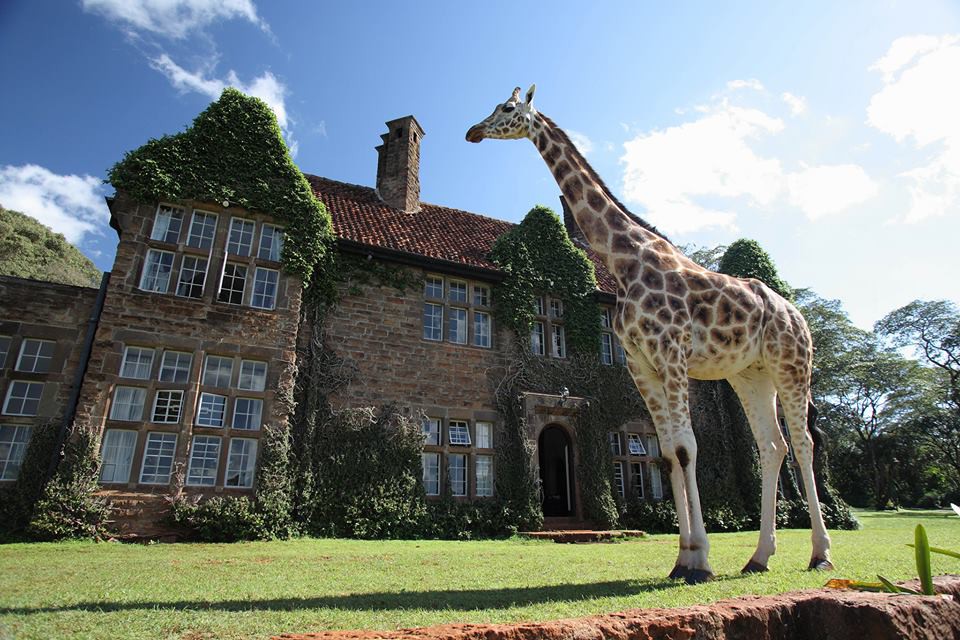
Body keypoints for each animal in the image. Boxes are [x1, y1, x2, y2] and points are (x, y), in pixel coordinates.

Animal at [466, 86, 833, 583]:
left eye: (506, 109)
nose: (472, 131)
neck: (623, 260)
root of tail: (800, 315)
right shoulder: (641, 365)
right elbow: (666, 453)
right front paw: (684, 557)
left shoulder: (672, 353)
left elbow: (685, 447)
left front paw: (700, 561)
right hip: (749, 375)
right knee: (772, 446)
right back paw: (759, 557)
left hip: (793, 366)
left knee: (804, 443)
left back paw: (820, 553)